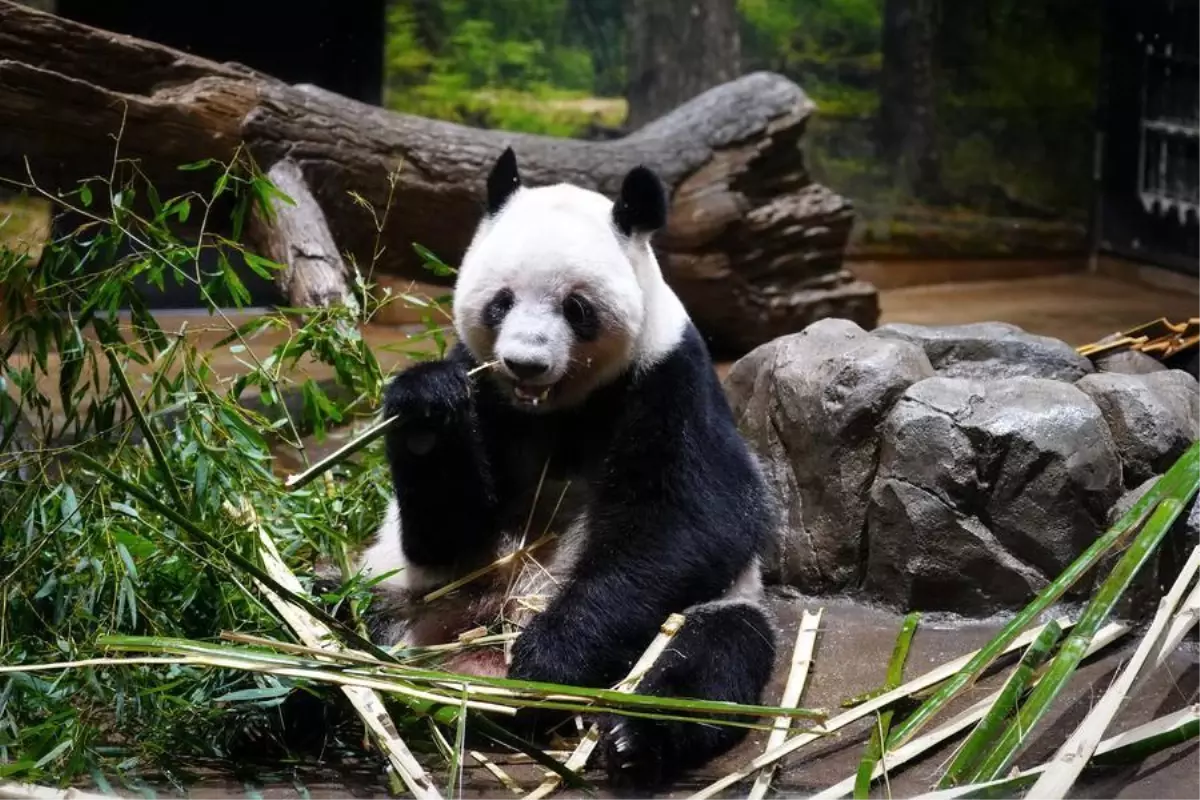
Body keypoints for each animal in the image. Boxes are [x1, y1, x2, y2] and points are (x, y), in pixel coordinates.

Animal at [354, 147, 779, 787]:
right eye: (500, 301)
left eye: (576, 308)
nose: (524, 363)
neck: (555, 409)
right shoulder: (488, 395)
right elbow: (447, 535)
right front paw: (427, 407)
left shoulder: (668, 380)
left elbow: (692, 520)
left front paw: (548, 658)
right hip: (397, 597)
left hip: (710, 611)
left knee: (713, 655)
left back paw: (634, 740)